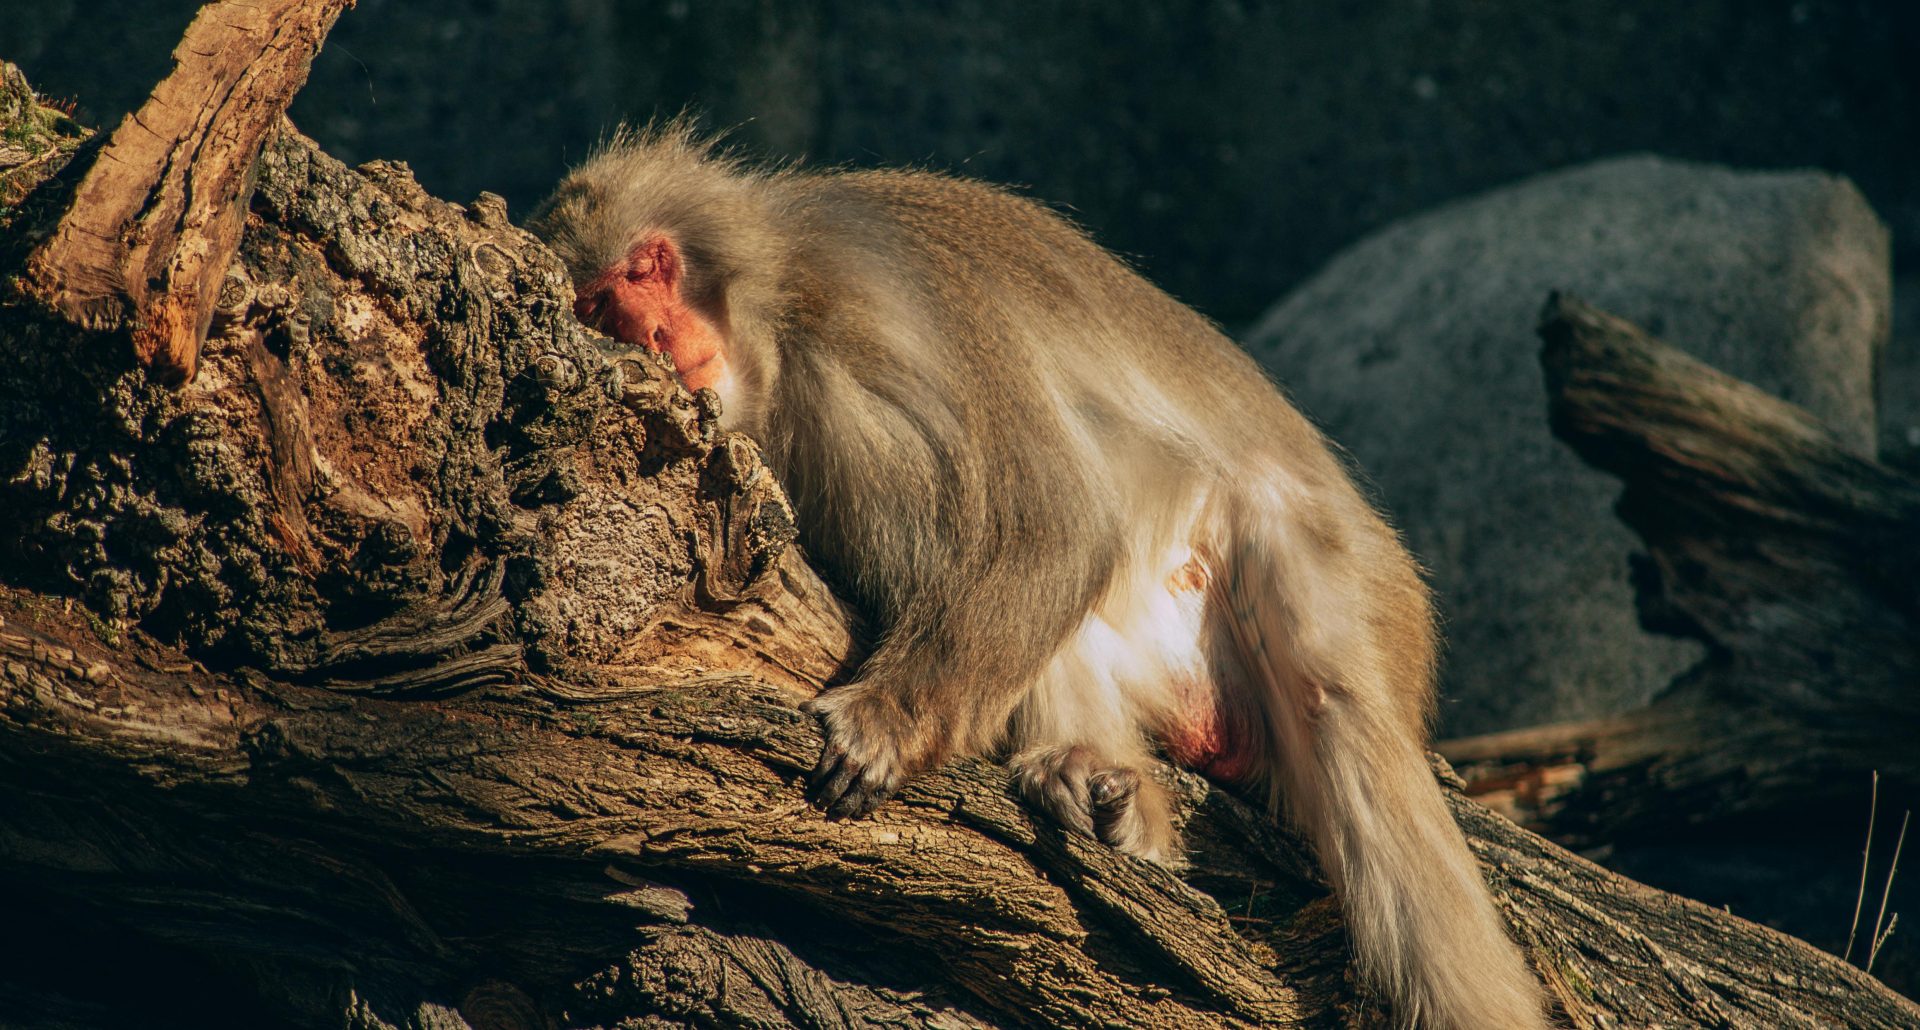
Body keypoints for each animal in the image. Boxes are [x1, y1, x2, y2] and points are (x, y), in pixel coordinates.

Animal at [529, 124, 1548, 1030]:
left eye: (646, 273)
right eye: (598, 309)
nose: (654, 336)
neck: (772, 319)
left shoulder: (864, 306)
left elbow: (1051, 520)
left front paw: (887, 723)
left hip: (1340, 571)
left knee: (1345, 715)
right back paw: (1106, 781)